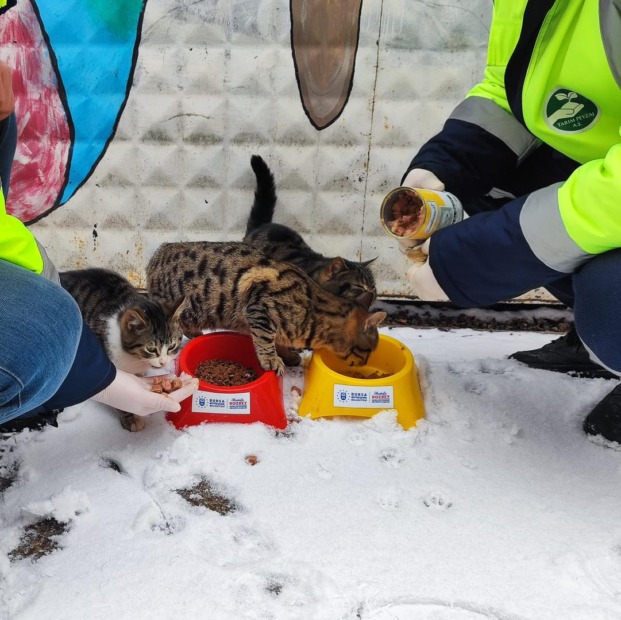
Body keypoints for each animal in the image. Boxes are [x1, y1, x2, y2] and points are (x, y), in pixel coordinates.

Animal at [147, 243, 386, 376]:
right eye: (369, 350)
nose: (365, 364)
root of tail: (157, 253)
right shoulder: (260, 307)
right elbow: (265, 339)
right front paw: (272, 360)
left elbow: (279, 342)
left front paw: (288, 355)